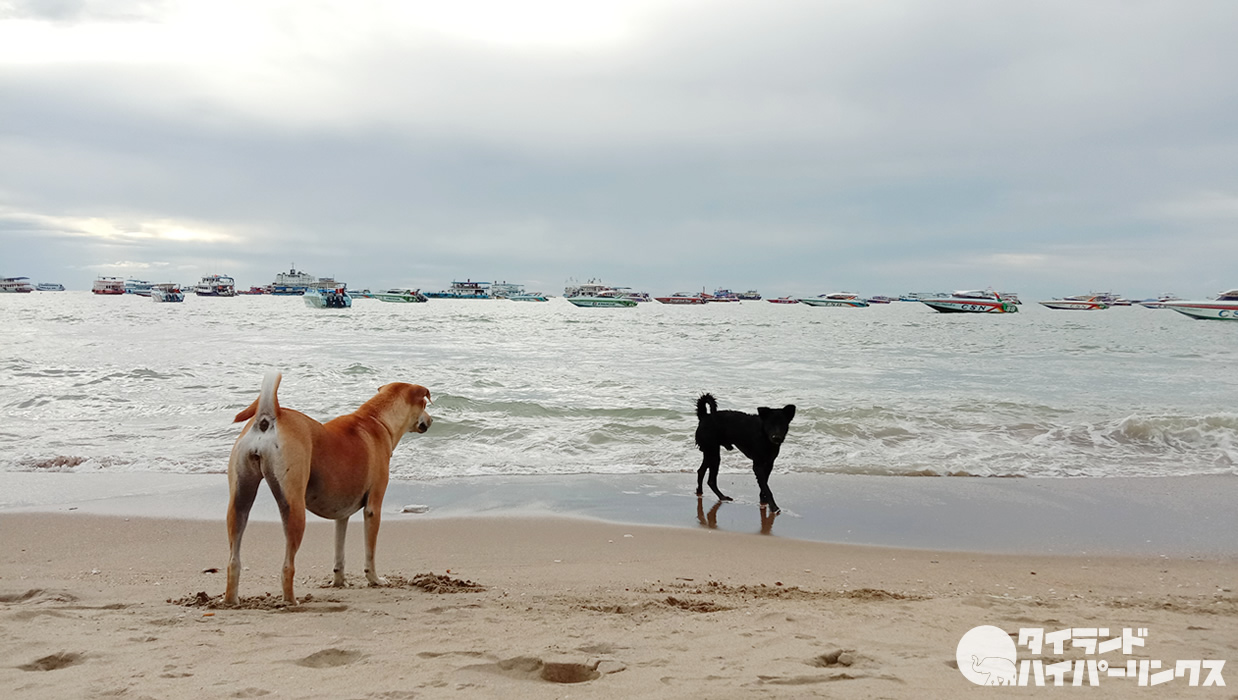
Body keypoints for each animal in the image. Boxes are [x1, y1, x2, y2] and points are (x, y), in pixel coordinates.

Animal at [225, 371, 433, 607]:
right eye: (425, 403)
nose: (431, 420)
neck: (377, 420)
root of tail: (269, 416)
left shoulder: (341, 515)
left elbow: (339, 551)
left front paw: (339, 582)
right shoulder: (373, 508)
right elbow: (370, 553)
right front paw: (375, 580)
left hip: (239, 500)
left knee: (233, 560)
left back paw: (231, 600)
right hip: (294, 507)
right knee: (287, 565)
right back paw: (291, 601)